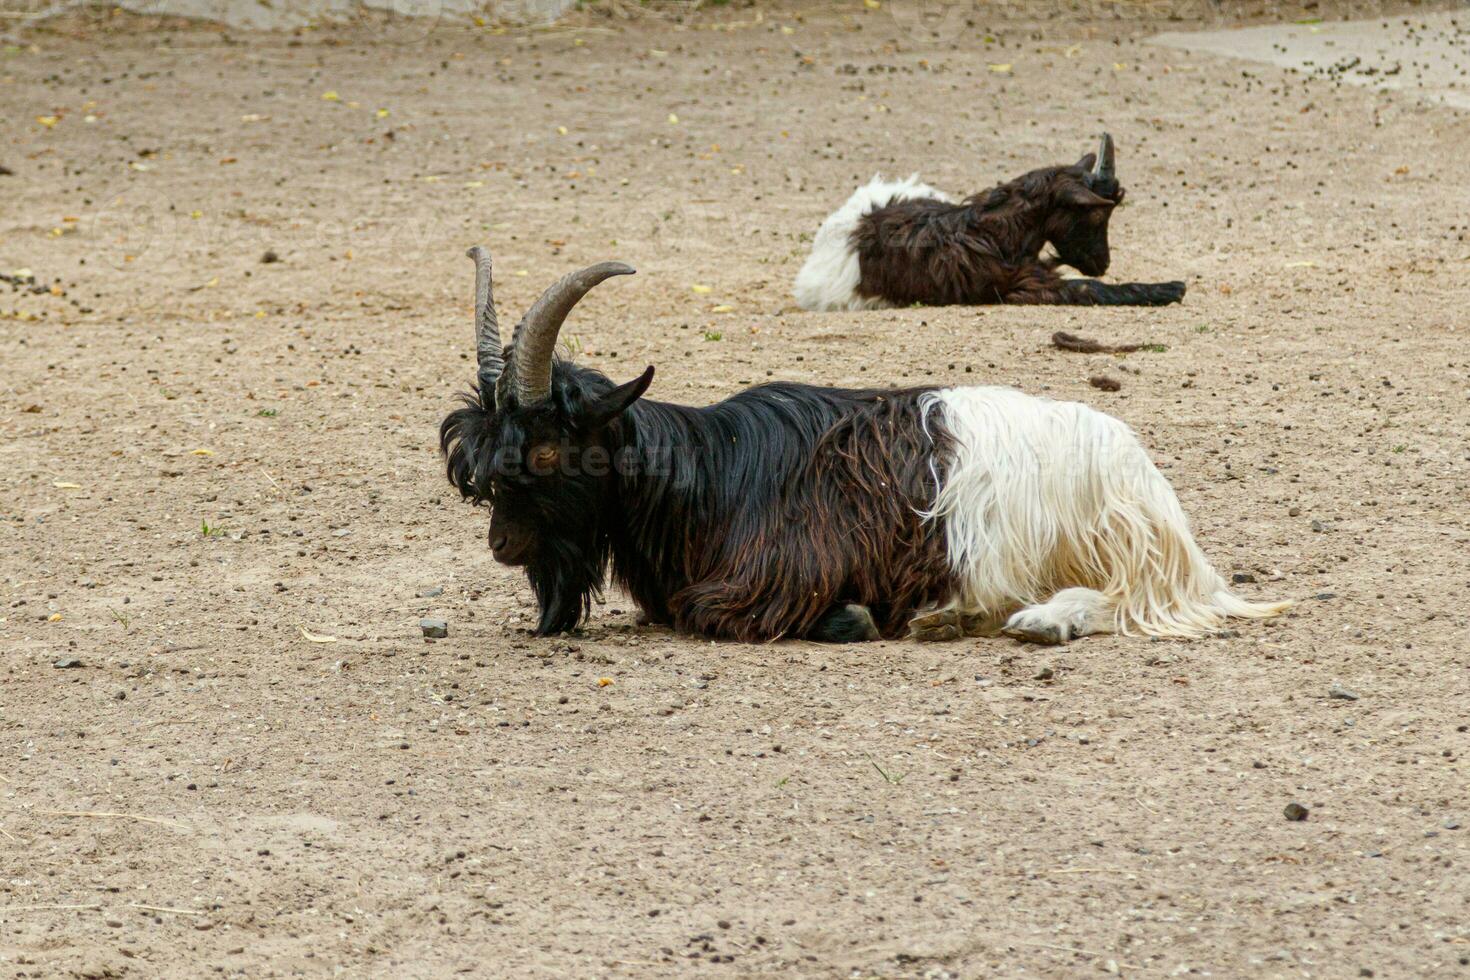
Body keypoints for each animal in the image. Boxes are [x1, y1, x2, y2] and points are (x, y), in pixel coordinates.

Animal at [438, 246, 1287, 643]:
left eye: (548, 451)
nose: (503, 545)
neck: (709, 476)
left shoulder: (767, 584)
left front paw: (867, 618)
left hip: (1117, 550)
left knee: (1127, 600)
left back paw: (1025, 620)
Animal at [793, 134, 1181, 310]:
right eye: (1098, 213)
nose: (1103, 264)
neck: (992, 232)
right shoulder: (1020, 286)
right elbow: (1089, 289)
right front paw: (1171, 288)